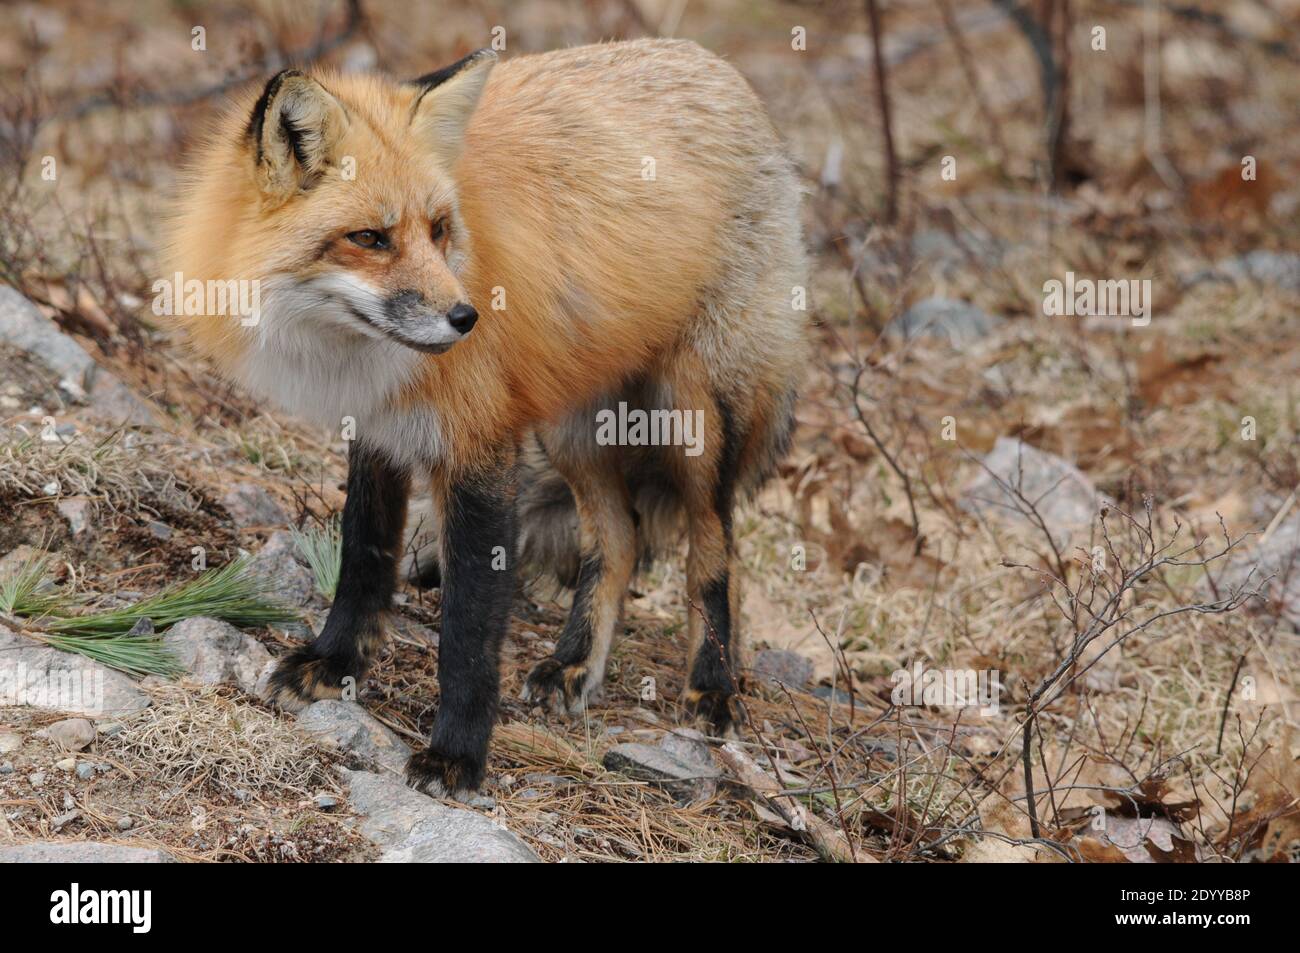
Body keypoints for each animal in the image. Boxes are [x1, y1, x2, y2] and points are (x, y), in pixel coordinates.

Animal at [167, 39, 806, 795]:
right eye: (370, 238)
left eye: (439, 229)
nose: (466, 318)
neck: (355, 355)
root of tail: (720, 67)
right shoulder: (378, 429)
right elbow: (364, 556)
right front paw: (335, 664)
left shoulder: (480, 447)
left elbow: (469, 629)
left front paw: (457, 754)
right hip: (573, 426)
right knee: (618, 538)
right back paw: (574, 663)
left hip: (693, 418)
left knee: (714, 545)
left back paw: (713, 684)